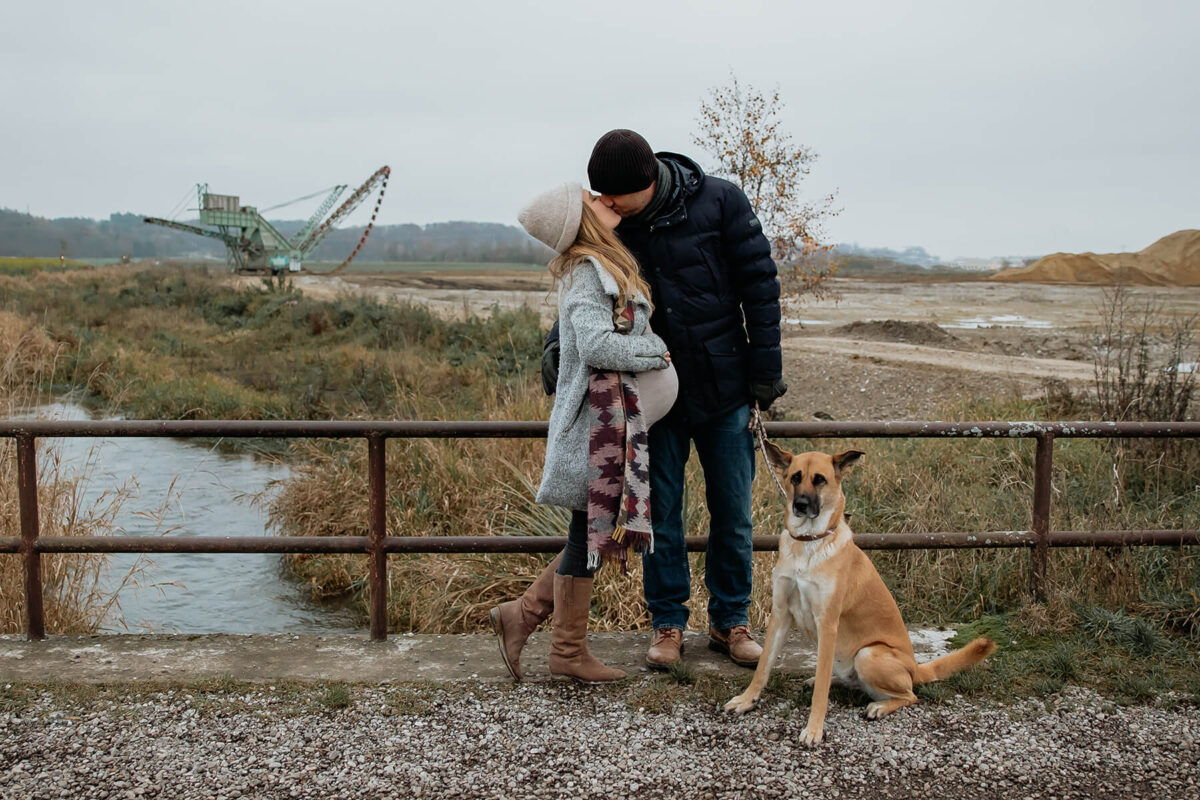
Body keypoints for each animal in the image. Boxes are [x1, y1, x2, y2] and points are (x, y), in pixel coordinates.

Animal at [724, 443, 998, 743]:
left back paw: (879, 706)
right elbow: (763, 667)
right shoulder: (781, 615)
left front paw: (814, 728)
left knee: (910, 695)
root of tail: (916, 667)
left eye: (819, 479)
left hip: (868, 655)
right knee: (845, 679)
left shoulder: (827, 623)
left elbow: (820, 694)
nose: (800, 505)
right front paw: (747, 700)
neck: (809, 543)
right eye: (795, 477)